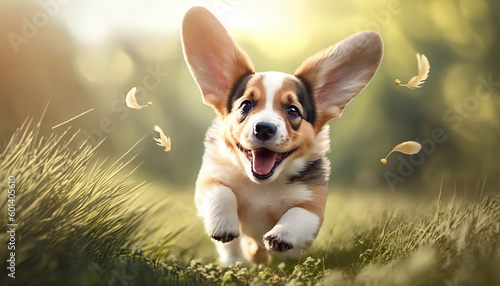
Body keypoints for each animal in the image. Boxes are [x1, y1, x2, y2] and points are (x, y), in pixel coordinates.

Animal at [182, 5, 384, 264]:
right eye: (246, 105)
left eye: (292, 110)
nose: (264, 128)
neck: (262, 186)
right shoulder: (209, 180)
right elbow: (221, 191)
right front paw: (223, 225)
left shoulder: (313, 205)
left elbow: (298, 214)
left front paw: (281, 235)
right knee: (234, 250)